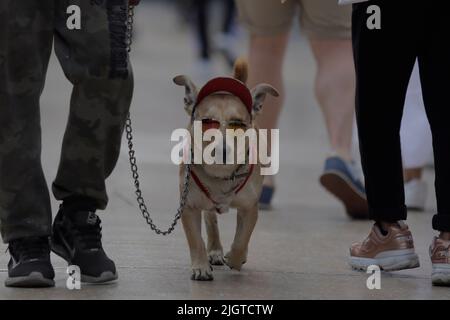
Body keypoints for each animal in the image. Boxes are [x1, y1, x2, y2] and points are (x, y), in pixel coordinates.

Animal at [175, 60, 278, 280]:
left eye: (237, 125)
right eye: (207, 123)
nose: (223, 149)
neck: (220, 173)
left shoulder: (250, 207)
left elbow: (242, 238)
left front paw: (236, 258)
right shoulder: (189, 207)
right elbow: (195, 240)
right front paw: (201, 266)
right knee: (211, 220)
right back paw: (214, 251)